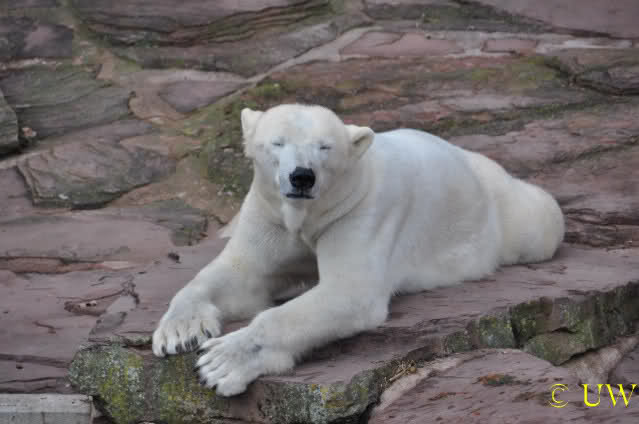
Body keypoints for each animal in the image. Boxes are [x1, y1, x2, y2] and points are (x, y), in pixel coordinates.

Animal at [152, 104, 564, 396]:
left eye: (325, 147)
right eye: (277, 142)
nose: (302, 176)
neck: (308, 213)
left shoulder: (359, 211)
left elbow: (348, 292)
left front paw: (220, 362)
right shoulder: (269, 215)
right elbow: (240, 274)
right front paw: (179, 332)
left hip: (510, 215)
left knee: (541, 215)